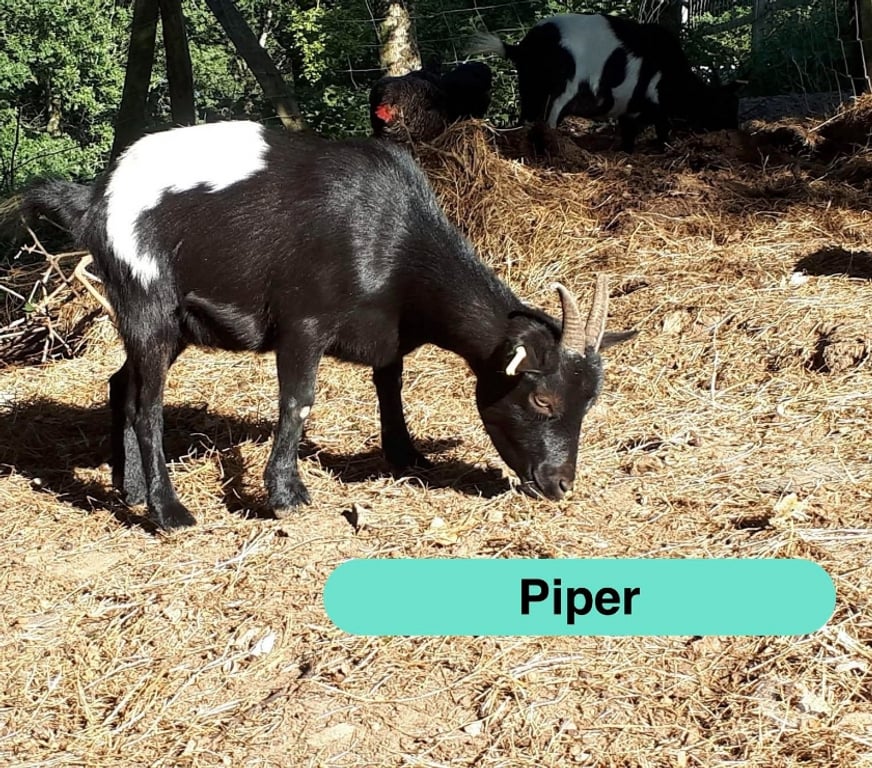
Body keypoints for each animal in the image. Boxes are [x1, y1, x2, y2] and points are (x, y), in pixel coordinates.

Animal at [23, 120, 633, 530]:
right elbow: (299, 401)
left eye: (590, 403)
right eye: (542, 400)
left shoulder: (388, 335)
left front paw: (407, 455)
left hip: (172, 324)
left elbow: (390, 386)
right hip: (147, 298)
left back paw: (127, 490)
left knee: (121, 385)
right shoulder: (303, 324)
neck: (393, 238)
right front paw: (285, 495)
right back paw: (168, 510)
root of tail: (94, 197)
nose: (559, 484)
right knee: (148, 404)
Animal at [469, 13, 739, 152]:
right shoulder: (655, 101)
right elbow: (662, 128)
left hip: (530, 87)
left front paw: (627, 151)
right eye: (724, 106)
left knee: (525, 120)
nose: (734, 129)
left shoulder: (631, 108)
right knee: (547, 121)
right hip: (560, 90)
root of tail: (522, 48)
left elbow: (629, 132)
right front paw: (664, 148)